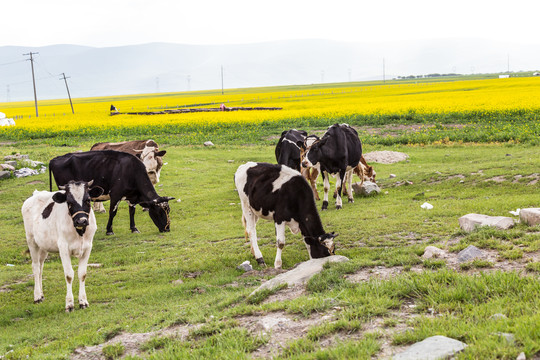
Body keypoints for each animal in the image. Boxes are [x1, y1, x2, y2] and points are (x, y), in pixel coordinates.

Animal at [21, 180, 103, 312]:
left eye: (88, 200)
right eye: (69, 202)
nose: (82, 221)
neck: (79, 232)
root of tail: (36, 194)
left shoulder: (87, 248)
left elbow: (82, 273)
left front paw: (83, 302)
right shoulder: (63, 248)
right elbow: (69, 275)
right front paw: (69, 304)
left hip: (43, 246)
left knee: (41, 267)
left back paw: (42, 294)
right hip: (31, 241)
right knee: (36, 267)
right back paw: (37, 296)